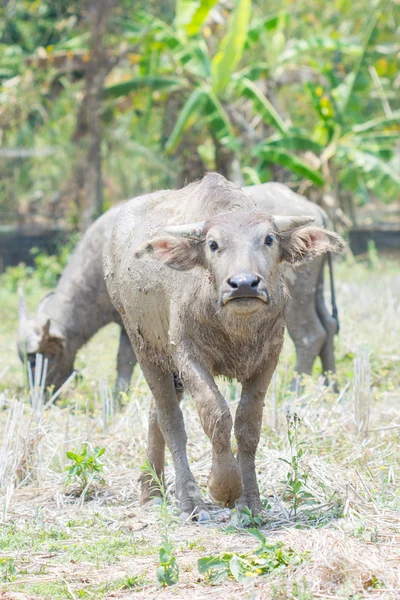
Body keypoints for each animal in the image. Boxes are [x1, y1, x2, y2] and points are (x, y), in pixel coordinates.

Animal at [104, 172, 344, 516]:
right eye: (213, 244)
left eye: (269, 239)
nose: (244, 284)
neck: (235, 329)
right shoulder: (188, 357)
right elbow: (216, 415)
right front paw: (224, 487)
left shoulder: (267, 360)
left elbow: (248, 424)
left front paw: (251, 501)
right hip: (144, 347)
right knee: (168, 416)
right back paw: (186, 497)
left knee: (155, 413)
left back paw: (151, 486)